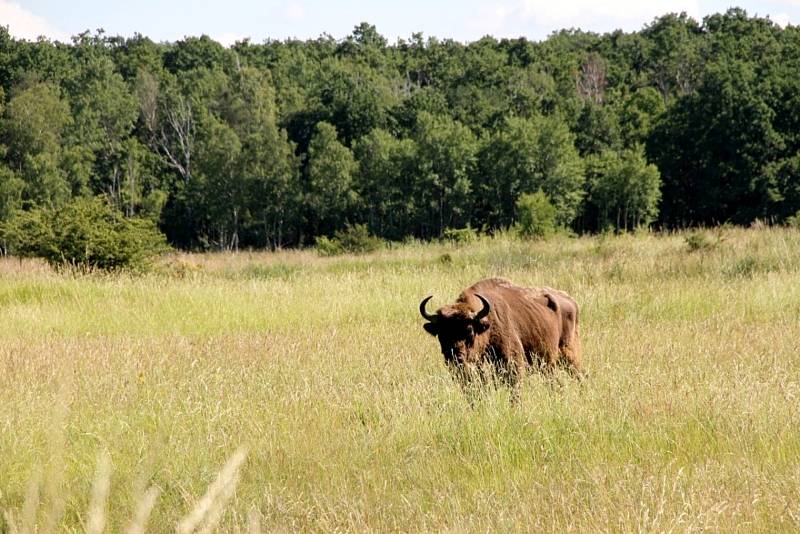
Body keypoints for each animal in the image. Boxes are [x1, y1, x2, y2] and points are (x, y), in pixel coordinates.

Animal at [422, 280, 584, 398]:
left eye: (469, 331)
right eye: (441, 333)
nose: (454, 356)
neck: (487, 325)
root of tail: (571, 301)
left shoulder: (513, 364)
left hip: (569, 355)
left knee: (579, 375)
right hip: (550, 365)